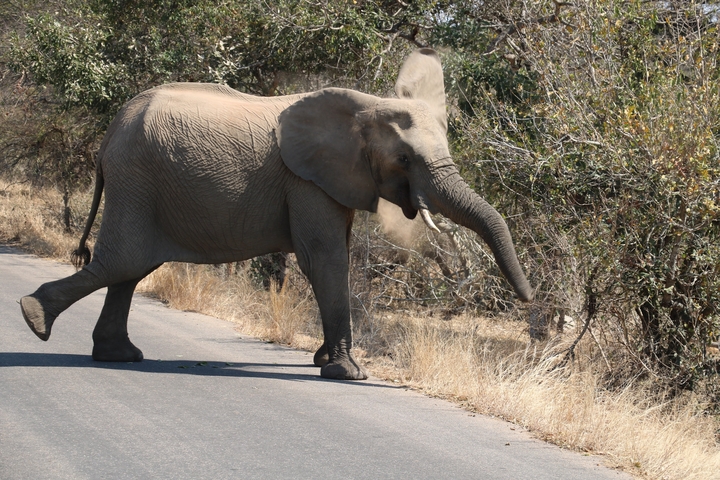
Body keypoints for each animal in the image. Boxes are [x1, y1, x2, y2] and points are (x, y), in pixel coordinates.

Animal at [20, 48, 533, 380]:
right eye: (404, 160)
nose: (529, 298)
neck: (364, 106)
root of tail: (110, 132)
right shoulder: (305, 180)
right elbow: (324, 257)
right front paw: (348, 372)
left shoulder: (330, 179)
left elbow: (330, 254)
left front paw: (325, 363)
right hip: (136, 179)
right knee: (123, 261)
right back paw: (35, 319)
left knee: (131, 267)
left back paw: (117, 355)